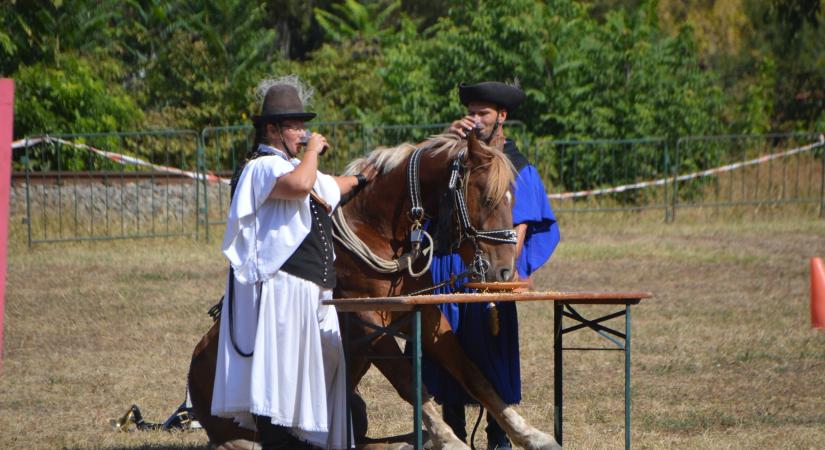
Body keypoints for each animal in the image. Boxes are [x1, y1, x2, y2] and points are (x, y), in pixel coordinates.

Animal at [187, 134, 560, 450]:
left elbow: (476, 376)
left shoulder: (426, 314)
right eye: (486, 198)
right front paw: (450, 440)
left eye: (513, 198)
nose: (505, 271)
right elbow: (409, 382)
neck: (376, 230)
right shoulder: (367, 321)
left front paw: (531, 434)